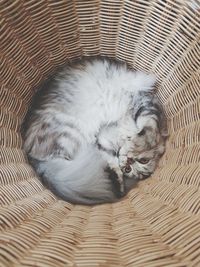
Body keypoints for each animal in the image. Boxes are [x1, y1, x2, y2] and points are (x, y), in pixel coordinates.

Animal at [22, 58, 167, 205]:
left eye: (129, 169)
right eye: (144, 161)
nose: (129, 161)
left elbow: (113, 160)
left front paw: (119, 183)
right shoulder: (144, 103)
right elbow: (149, 126)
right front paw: (138, 141)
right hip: (70, 133)